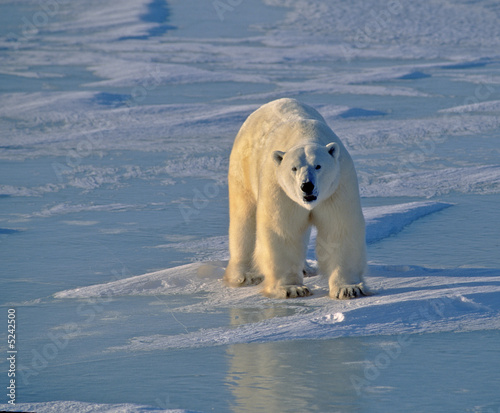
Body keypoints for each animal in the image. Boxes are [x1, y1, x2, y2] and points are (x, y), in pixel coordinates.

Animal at [223, 98, 368, 298]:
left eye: (318, 166)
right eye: (294, 168)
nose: (307, 186)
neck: (304, 134)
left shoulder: (337, 186)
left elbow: (339, 228)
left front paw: (348, 288)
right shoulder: (280, 189)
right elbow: (283, 230)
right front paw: (292, 288)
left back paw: (307, 268)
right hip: (242, 168)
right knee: (244, 219)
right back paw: (245, 275)